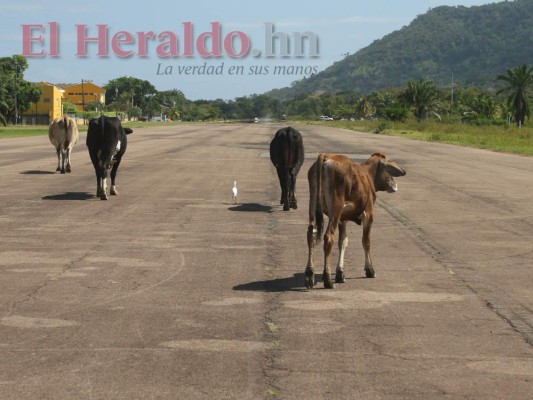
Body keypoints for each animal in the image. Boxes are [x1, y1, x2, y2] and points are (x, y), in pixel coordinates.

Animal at [306, 152, 406, 288]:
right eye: (388, 163)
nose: (402, 171)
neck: (368, 175)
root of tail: (326, 156)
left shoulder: (343, 219)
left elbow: (343, 242)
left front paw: (340, 273)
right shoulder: (368, 215)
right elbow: (366, 241)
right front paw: (370, 269)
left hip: (313, 205)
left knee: (311, 234)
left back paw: (309, 275)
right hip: (336, 208)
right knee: (329, 237)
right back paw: (327, 280)